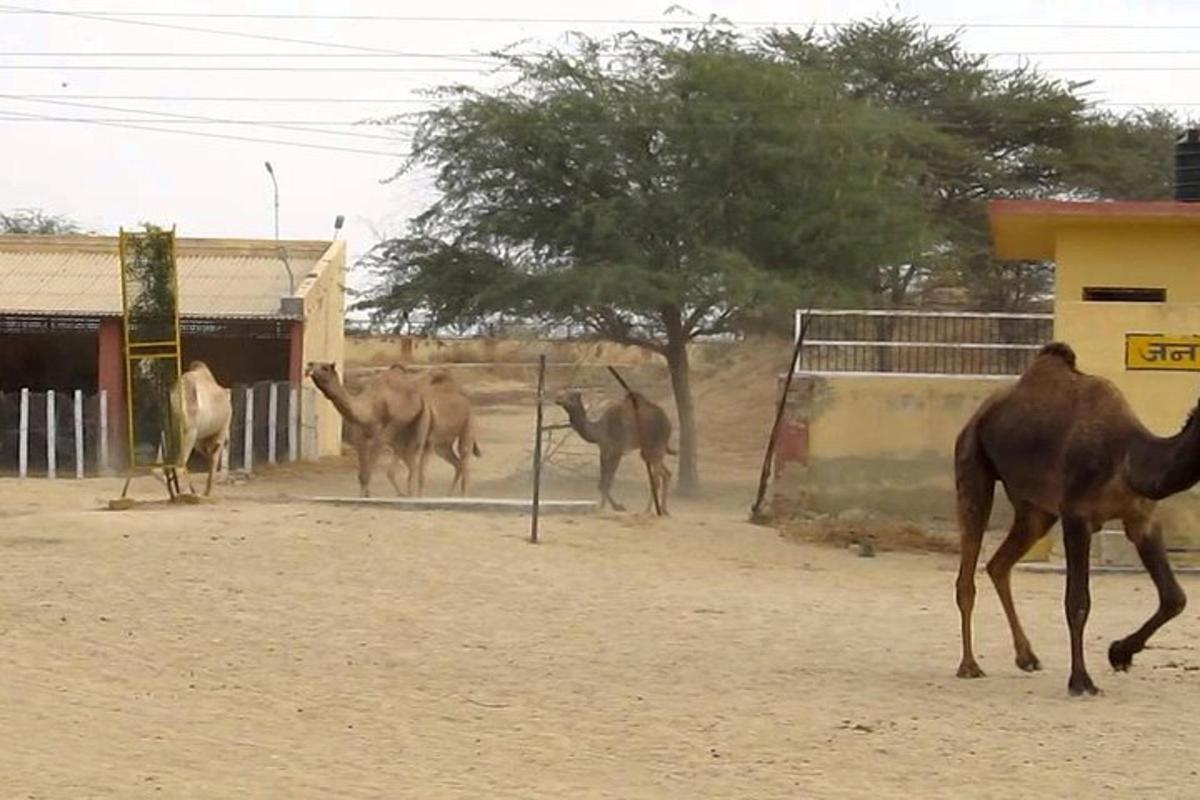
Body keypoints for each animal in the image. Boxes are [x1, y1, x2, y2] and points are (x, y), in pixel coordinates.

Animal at [169, 362, 234, 496]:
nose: (228, 440)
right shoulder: (221, 430)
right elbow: (213, 459)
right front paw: (207, 492)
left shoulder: (199, 439)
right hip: (190, 431)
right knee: (180, 464)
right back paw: (184, 493)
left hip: (177, 431)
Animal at [304, 362, 432, 496]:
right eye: (313, 364)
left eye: (325, 368)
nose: (309, 367)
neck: (368, 410)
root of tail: (420, 399)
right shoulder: (360, 437)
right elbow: (362, 475)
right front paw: (365, 496)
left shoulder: (380, 437)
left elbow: (367, 473)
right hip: (399, 436)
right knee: (407, 463)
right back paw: (405, 494)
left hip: (419, 423)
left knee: (415, 463)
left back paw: (413, 494)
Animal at [950, 340, 1195, 695]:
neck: (1128, 458)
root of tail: (977, 415)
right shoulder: (1077, 516)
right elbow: (1077, 602)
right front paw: (1081, 681)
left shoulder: (1141, 519)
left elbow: (1174, 597)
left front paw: (1118, 653)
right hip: (972, 462)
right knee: (968, 570)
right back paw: (969, 665)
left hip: (1036, 510)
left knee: (998, 564)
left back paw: (1027, 657)